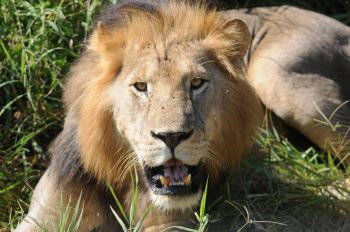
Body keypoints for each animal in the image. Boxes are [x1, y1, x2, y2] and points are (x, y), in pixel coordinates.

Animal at [16, 0, 350, 232]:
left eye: (197, 83)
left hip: (276, 74)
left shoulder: (169, 222)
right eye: (141, 87)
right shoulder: (44, 216)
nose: (172, 136)